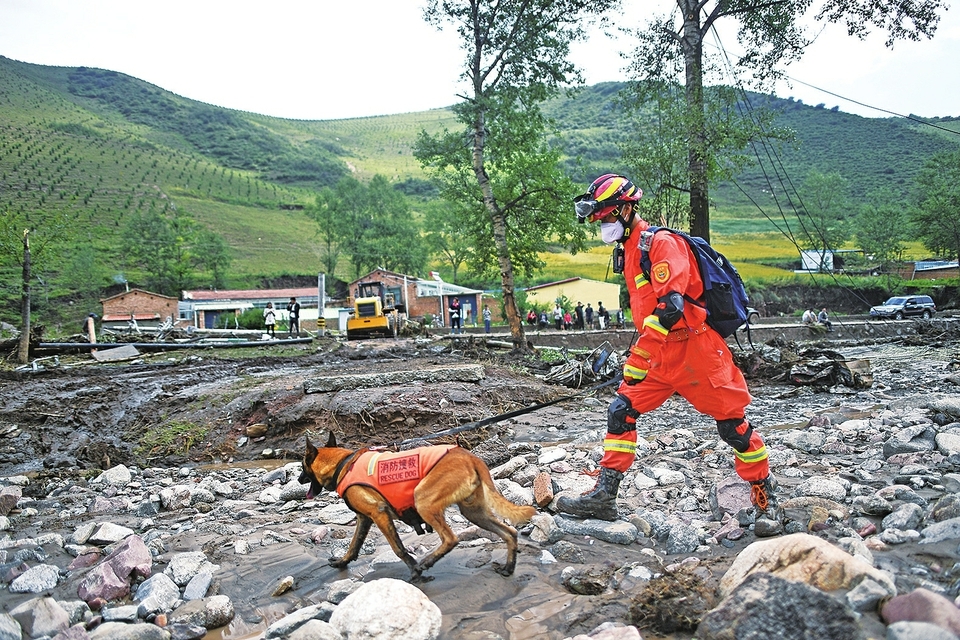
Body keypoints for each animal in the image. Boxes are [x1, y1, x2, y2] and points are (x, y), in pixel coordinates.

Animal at [300, 432, 536, 584]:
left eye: (302, 466)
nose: (299, 479)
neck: (343, 463)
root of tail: (469, 456)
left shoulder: (379, 513)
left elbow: (398, 548)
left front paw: (415, 570)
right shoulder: (364, 519)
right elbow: (354, 545)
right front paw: (343, 562)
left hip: (424, 501)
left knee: (450, 539)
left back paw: (426, 563)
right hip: (474, 512)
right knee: (510, 532)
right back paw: (509, 567)